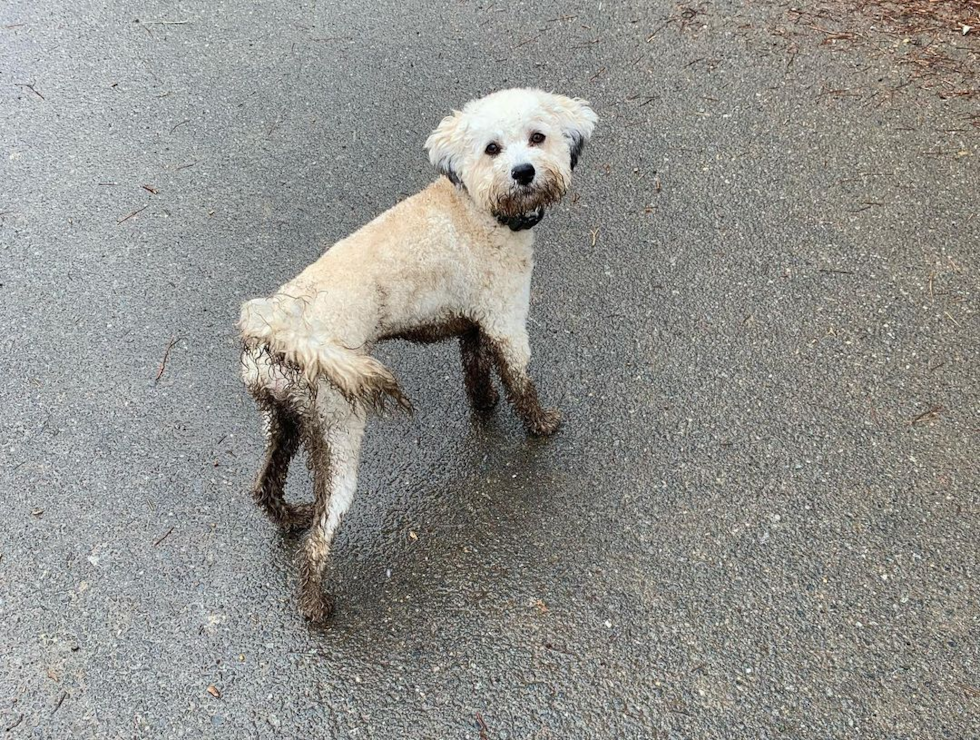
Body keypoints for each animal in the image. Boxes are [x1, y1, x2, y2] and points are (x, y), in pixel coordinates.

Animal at [237, 86, 596, 620]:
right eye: (492, 148)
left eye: (537, 137)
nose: (524, 172)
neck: (476, 206)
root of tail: (276, 327)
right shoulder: (506, 320)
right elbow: (520, 380)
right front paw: (541, 425)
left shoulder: (474, 323)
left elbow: (477, 369)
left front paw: (485, 404)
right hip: (338, 432)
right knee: (320, 538)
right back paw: (316, 605)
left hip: (285, 420)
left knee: (264, 484)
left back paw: (291, 516)